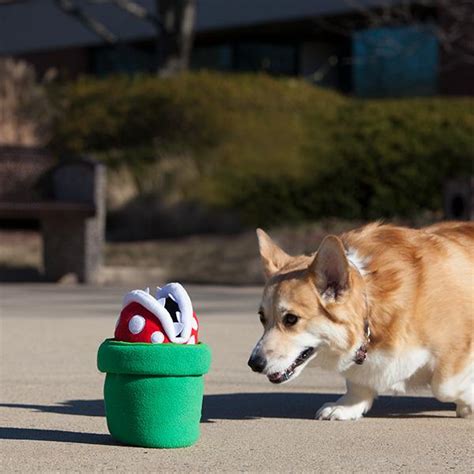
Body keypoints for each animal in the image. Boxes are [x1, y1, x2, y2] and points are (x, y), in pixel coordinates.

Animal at [248, 222, 474, 418]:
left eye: (291, 319)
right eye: (262, 318)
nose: (253, 364)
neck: (371, 308)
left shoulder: (458, 346)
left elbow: (443, 386)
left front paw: (467, 404)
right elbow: (357, 384)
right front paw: (347, 407)